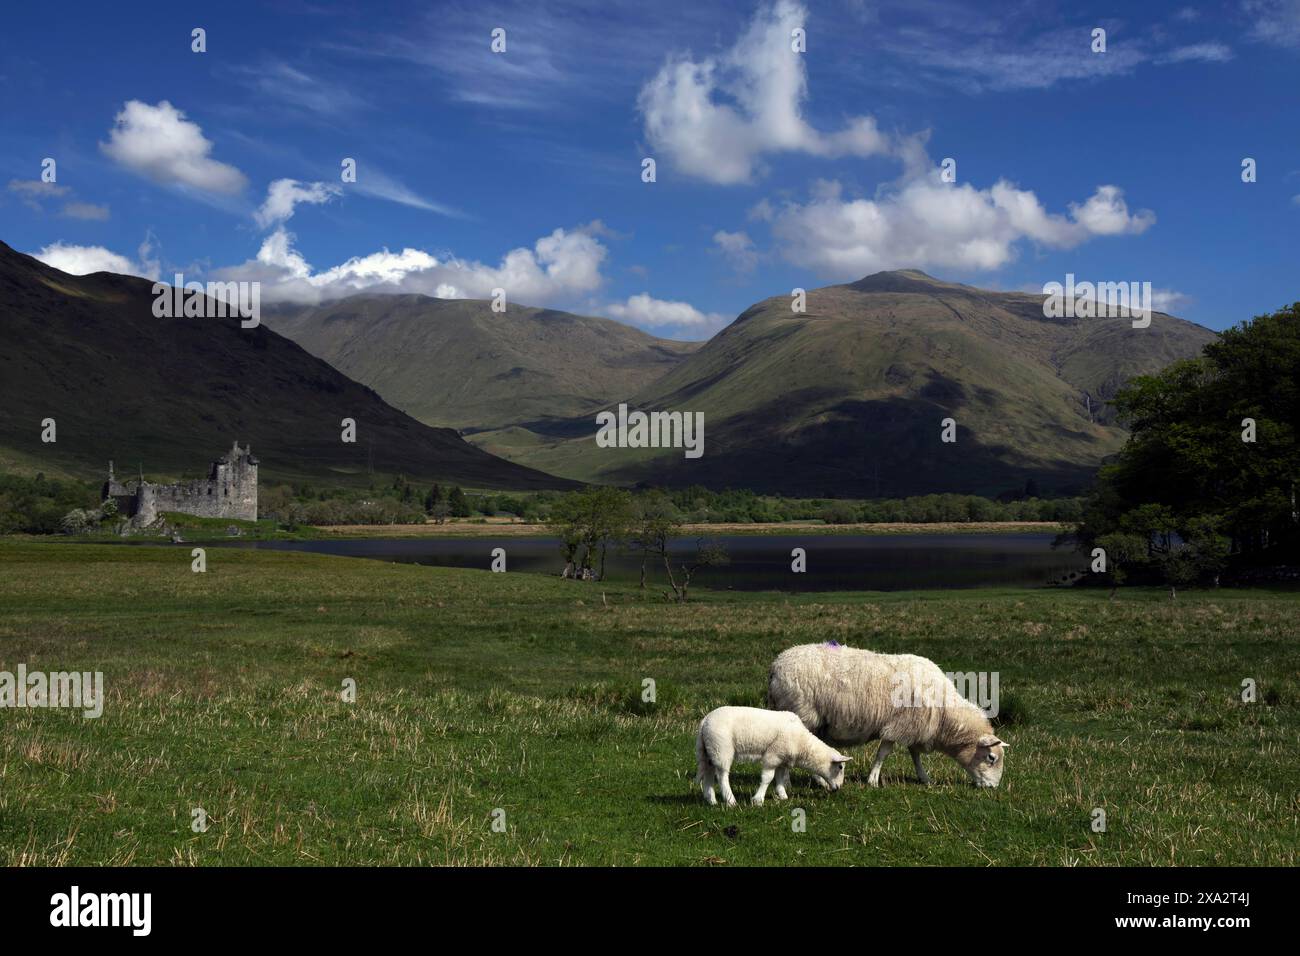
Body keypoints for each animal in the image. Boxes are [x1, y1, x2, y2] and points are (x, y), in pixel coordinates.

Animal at [691, 707, 852, 806]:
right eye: (840, 767)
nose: (838, 788)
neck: (802, 743)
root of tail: (705, 721)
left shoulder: (782, 759)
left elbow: (780, 778)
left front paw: (783, 796)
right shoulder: (773, 755)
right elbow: (768, 778)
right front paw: (758, 800)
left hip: (710, 750)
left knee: (709, 773)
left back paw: (711, 800)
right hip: (721, 748)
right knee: (722, 776)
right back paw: (731, 801)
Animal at [764, 642, 1008, 790]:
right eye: (991, 758)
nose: (993, 788)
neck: (945, 715)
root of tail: (776, 666)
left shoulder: (913, 727)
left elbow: (914, 754)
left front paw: (924, 777)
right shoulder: (898, 725)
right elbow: (884, 753)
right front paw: (873, 779)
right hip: (802, 714)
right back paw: (799, 782)